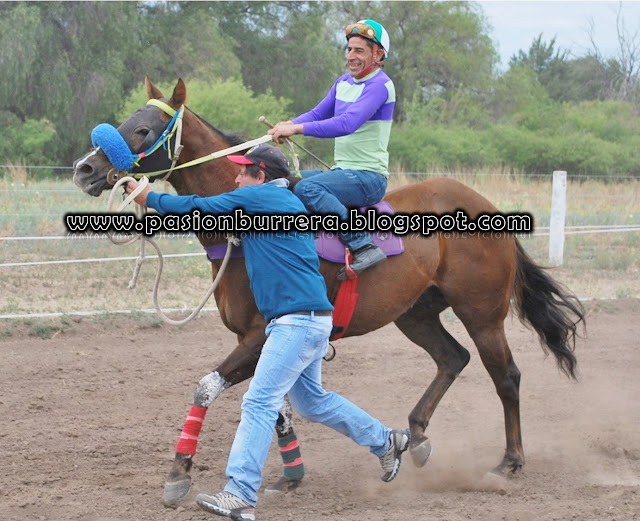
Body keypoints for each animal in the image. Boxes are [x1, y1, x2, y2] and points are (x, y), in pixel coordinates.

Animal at [72, 77, 585, 506]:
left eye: (142, 129)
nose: (85, 169)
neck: (242, 228)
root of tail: (488, 206)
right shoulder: (262, 339)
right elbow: (277, 405)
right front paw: (290, 476)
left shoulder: (259, 334)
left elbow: (208, 388)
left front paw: (179, 474)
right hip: (415, 313)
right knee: (452, 358)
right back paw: (415, 437)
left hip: (482, 312)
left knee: (507, 377)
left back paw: (510, 462)